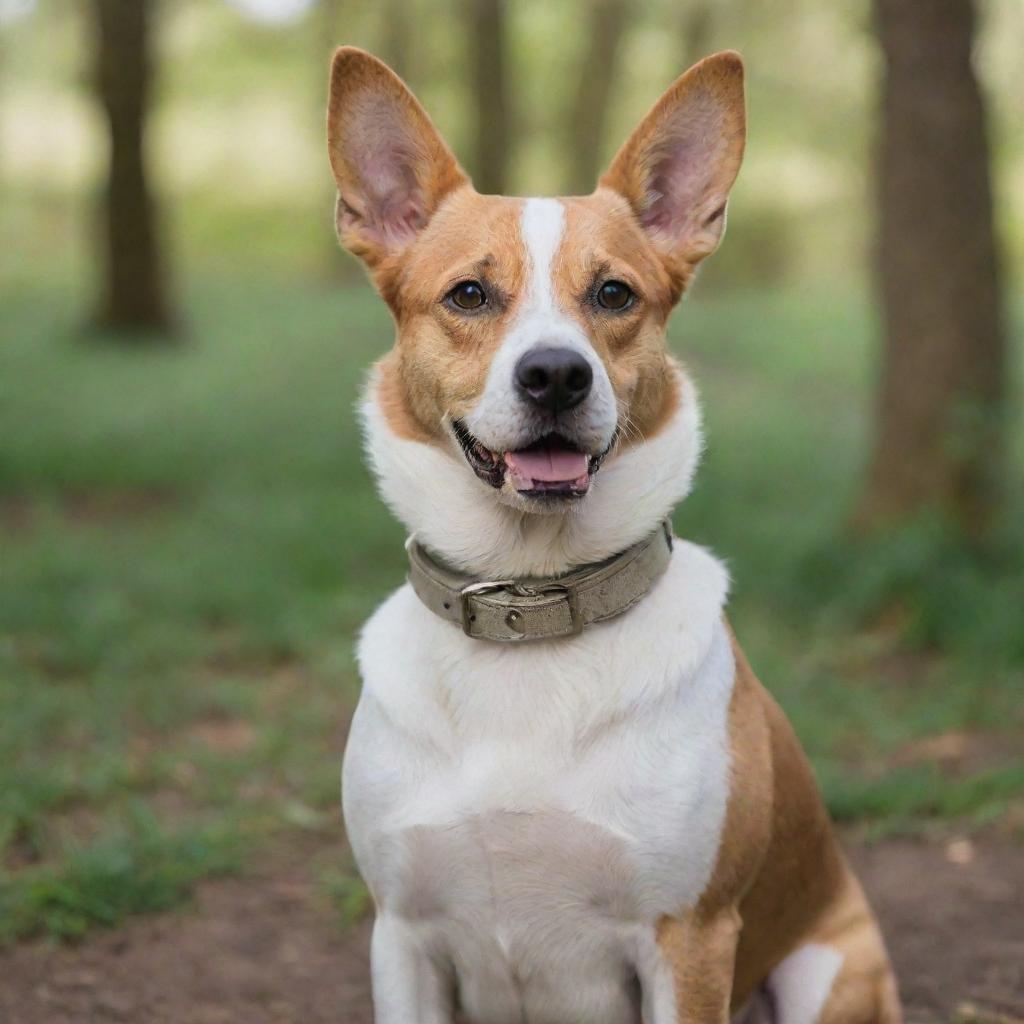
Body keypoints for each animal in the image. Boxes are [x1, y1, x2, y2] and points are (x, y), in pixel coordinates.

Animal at [325, 44, 897, 1019]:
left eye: (613, 293)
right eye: (469, 294)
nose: (557, 374)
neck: (530, 603)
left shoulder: (690, 940)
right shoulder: (400, 936)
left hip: (828, 968)